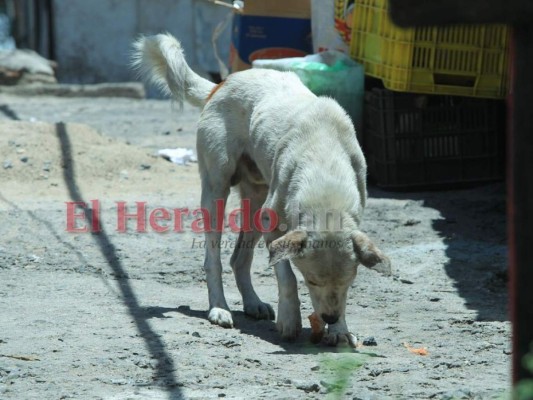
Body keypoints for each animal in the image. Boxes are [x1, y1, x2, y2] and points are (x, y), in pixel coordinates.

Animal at [135, 33, 388, 346]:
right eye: (311, 280)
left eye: (348, 281)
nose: (329, 318)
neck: (324, 164)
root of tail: (223, 82)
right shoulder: (273, 224)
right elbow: (286, 276)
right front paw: (290, 320)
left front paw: (340, 330)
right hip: (216, 192)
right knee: (213, 259)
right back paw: (219, 308)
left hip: (255, 202)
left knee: (239, 260)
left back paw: (253, 303)